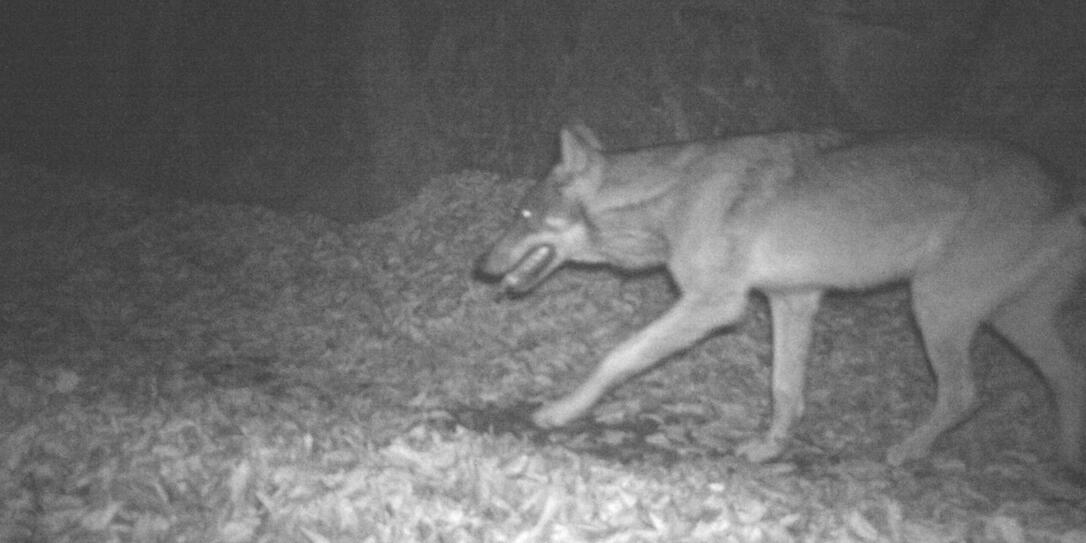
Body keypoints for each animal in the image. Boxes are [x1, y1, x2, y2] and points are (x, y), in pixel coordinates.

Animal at [477, 123, 1086, 471]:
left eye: (523, 215)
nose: (479, 268)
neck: (672, 196)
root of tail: (1065, 193)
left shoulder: (714, 305)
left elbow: (617, 357)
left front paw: (560, 412)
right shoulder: (794, 299)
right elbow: (785, 390)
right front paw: (770, 451)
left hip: (936, 306)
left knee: (965, 395)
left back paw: (908, 453)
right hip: (1011, 321)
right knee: (1068, 378)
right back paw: (1067, 464)